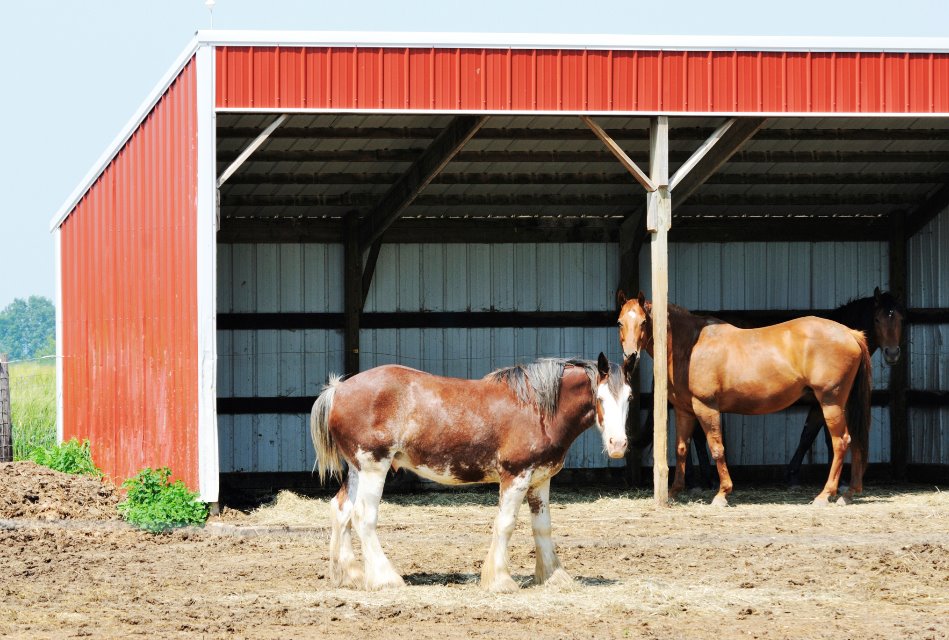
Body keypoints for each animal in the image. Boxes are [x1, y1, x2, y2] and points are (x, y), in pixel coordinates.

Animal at [310, 354, 632, 592]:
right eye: (600, 397)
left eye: (628, 397)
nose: (618, 444)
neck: (535, 408)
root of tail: (338, 389)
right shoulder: (516, 476)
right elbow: (505, 524)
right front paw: (500, 581)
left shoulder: (540, 479)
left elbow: (542, 527)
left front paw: (553, 577)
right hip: (374, 467)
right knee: (364, 517)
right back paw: (385, 578)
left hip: (357, 470)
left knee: (341, 511)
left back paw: (350, 575)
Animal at [627, 288, 905, 489]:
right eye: (878, 318)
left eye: (901, 317)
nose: (893, 354)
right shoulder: (822, 402)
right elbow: (816, 437)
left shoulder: (820, 403)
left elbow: (809, 435)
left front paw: (796, 476)